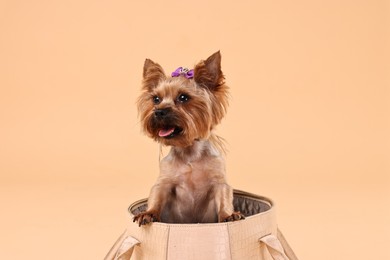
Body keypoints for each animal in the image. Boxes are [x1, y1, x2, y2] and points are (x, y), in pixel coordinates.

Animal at [134, 51, 244, 225]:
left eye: (183, 97)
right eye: (156, 99)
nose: (158, 111)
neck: (189, 151)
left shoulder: (219, 182)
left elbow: (224, 198)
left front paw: (229, 215)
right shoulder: (164, 182)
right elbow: (156, 196)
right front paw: (148, 213)